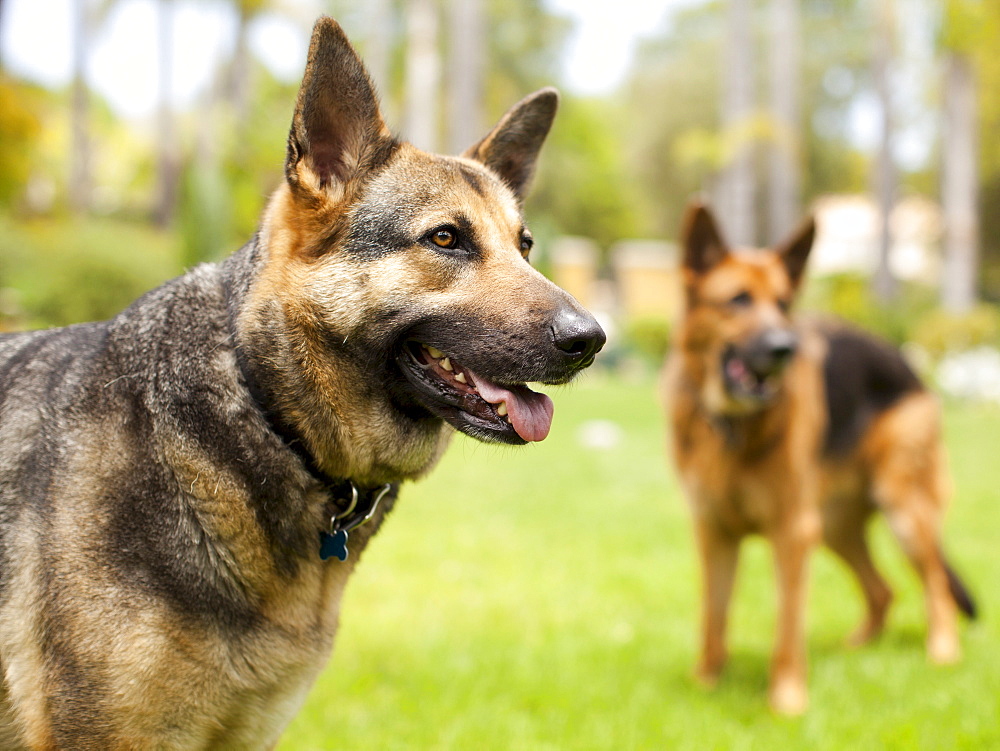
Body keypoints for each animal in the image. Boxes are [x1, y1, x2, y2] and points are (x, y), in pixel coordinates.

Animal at [664, 204, 976, 716]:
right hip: (833, 527)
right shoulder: (714, 533)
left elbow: (788, 626)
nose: (784, 348)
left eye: (784, 302)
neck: (733, 426)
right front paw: (705, 683)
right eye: (738, 300)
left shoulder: (793, 533)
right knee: (883, 590)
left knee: (935, 584)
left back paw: (943, 652)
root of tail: (906, 363)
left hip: (901, 511)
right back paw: (857, 648)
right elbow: (714, 614)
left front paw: (787, 701)